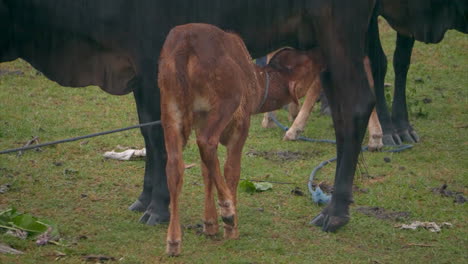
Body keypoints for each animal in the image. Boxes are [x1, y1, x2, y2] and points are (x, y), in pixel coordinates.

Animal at [0, 0, 378, 231]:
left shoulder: (155, 63)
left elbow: (160, 139)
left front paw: (158, 206)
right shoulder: (140, 73)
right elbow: (148, 133)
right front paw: (145, 199)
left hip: (338, 36)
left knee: (356, 106)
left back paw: (335, 212)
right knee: (340, 113)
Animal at [159, 24, 320, 256]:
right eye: (307, 64)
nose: (318, 52)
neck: (257, 84)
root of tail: (184, 42)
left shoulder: (200, 121)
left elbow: (206, 170)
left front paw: (210, 224)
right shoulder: (241, 124)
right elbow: (232, 170)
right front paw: (229, 228)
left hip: (170, 108)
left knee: (174, 166)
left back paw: (173, 240)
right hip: (227, 99)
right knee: (207, 142)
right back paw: (228, 209)